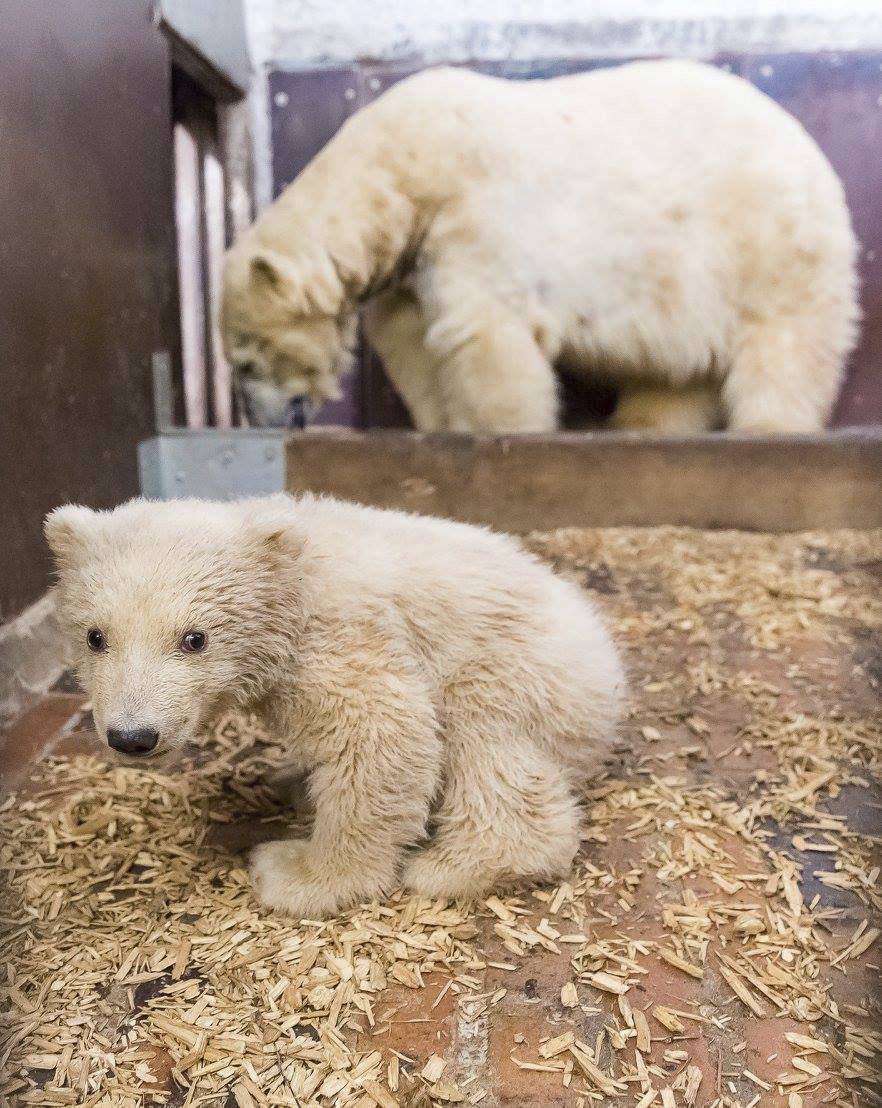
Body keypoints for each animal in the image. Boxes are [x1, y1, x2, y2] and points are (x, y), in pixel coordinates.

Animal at [220, 59, 855, 432]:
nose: (268, 424)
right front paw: (442, 423)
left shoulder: (473, 211)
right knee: (676, 369)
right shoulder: (412, 255)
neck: (406, 167)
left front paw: (500, 431)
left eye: (249, 362)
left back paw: (771, 426)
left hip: (762, 238)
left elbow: (482, 332)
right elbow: (410, 341)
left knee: (787, 341)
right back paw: (646, 422)